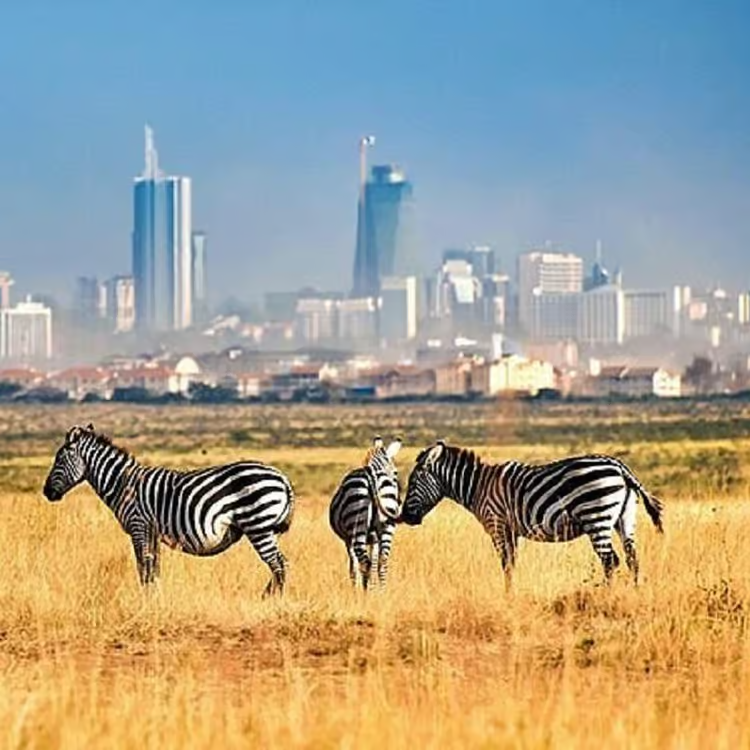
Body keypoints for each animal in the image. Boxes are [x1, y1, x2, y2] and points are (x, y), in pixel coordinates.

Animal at [42, 423, 295, 595]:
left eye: (59, 460)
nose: (46, 492)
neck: (122, 483)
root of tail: (282, 477)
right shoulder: (152, 531)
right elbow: (154, 568)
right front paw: (156, 597)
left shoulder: (139, 526)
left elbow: (143, 567)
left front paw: (146, 600)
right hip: (264, 528)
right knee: (280, 564)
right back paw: (268, 596)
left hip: (258, 525)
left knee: (278, 563)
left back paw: (271, 599)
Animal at [329, 436, 402, 589]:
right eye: (396, 473)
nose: (399, 501)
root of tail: (371, 474)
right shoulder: (374, 539)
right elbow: (374, 561)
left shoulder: (348, 539)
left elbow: (353, 566)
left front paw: (354, 587)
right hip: (387, 525)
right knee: (383, 561)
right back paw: (382, 591)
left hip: (357, 523)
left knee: (365, 563)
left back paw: (366, 591)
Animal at [400, 441, 664, 587]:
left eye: (412, 483)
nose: (405, 518)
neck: (478, 486)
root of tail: (620, 467)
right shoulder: (511, 530)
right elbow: (512, 564)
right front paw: (511, 594)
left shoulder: (497, 525)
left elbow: (506, 564)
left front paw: (508, 597)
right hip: (624, 519)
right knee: (632, 559)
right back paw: (634, 595)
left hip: (596, 516)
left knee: (610, 561)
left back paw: (606, 598)